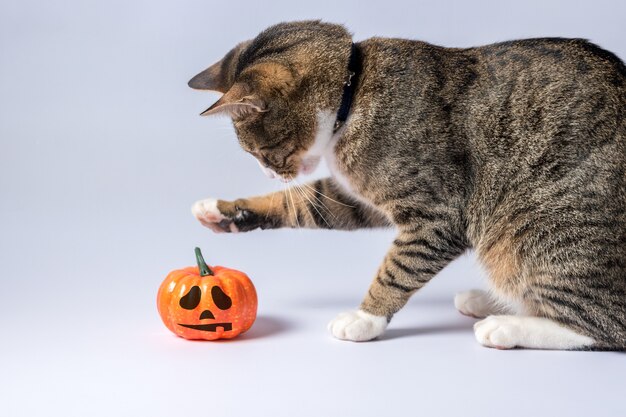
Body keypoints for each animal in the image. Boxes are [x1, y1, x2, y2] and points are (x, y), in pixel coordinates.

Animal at [186, 21, 624, 350]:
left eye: (263, 151)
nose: (270, 174)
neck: (354, 87)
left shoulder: (436, 212)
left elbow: (397, 268)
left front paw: (365, 318)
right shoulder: (356, 194)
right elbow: (304, 204)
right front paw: (223, 212)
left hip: (540, 227)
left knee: (605, 325)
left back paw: (507, 325)